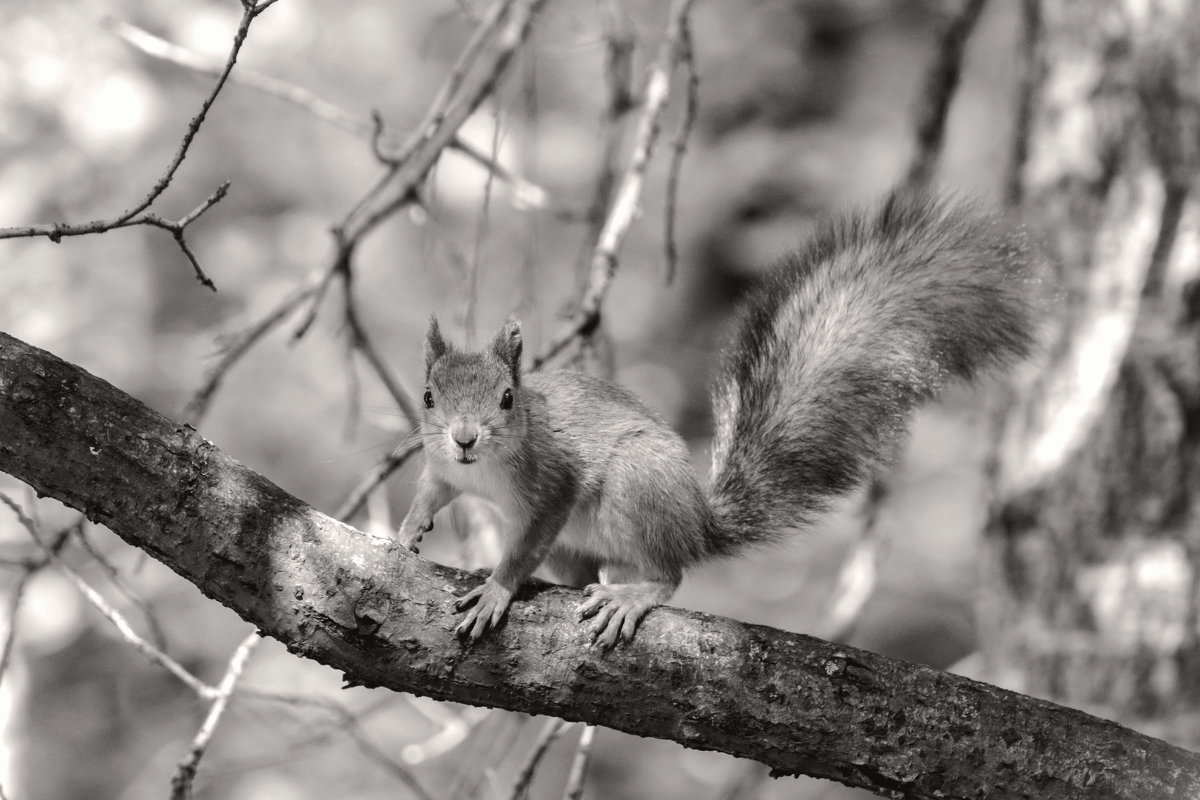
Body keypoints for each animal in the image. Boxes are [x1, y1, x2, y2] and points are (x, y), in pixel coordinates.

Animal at [400, 191, 1041, 652]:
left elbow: (529, 535)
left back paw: (631, 594)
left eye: (508, 399)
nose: (464, 437)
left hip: (637, 485)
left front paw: (497, 589)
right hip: (580, 544)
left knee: (669, 574)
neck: (482, 470)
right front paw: (409, 529)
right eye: (428, 397)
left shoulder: (550, 482)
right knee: (582, 568)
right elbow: (431, 488)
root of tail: (697, 524)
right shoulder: (443, 467)